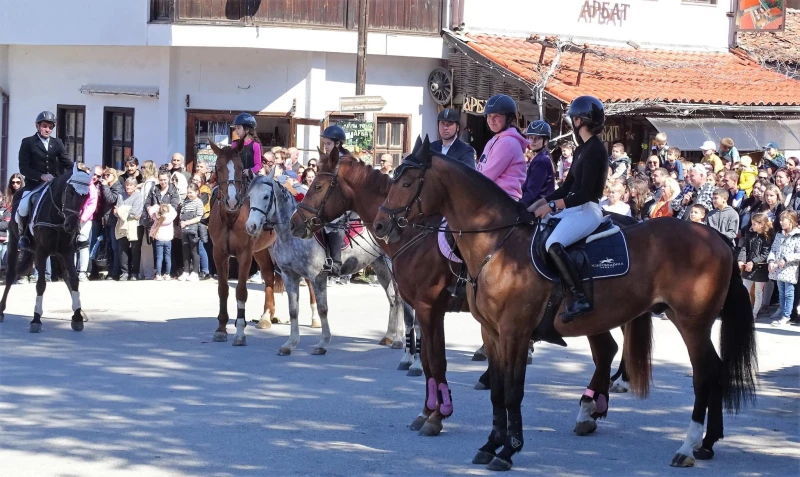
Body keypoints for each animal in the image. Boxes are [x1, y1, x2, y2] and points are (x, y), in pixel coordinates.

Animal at [0, 164, 93, 330]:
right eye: (69, 192)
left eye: (86, 196)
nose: (71, 226)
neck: (58, 216)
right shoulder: (41, 252)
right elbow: (41, 284)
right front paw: (36, 319)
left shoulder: (67, 251)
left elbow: (74, 280)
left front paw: (77, 317)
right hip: (14, 244)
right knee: (11, 274)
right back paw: (1, 311)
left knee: (66, 277)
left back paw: (80, 311)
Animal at [206, 141, 316, 346]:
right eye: (218, 167)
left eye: (240, 167)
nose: (231, 200)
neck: (231, 217)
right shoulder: (219, 253)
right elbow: (223, 290)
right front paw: (221, 329)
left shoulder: (245, 254)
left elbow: (241, 291)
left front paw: (240, 333)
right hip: (263, 251)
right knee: (268, 277)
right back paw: (266, 316)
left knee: (309, 279)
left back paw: (315, 317)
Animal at [244, 167, 406, 356]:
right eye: (250, 196)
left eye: (265, 197)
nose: (251, 226)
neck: (290, 235)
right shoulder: (289, 276)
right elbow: (293, 310)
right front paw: (290, 344)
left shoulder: (317, 277)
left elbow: (322, 309)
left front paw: (322, 343)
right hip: (379, 266)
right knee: (392, 298)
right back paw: (388, 336)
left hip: (392, 266)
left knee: (400, 300)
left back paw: (398, 339)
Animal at [372, 136, 760, 470]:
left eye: (407, 183)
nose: (380, 225)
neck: (498, 244)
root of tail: (718, 239)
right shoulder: (490, 332)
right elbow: (496, 390)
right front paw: (489, 444)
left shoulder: (511, 331)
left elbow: (510, 390)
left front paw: (507, 451)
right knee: (699, 368)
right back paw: (704, 443)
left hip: (691, 323)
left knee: (704, 374)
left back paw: (687, 446)